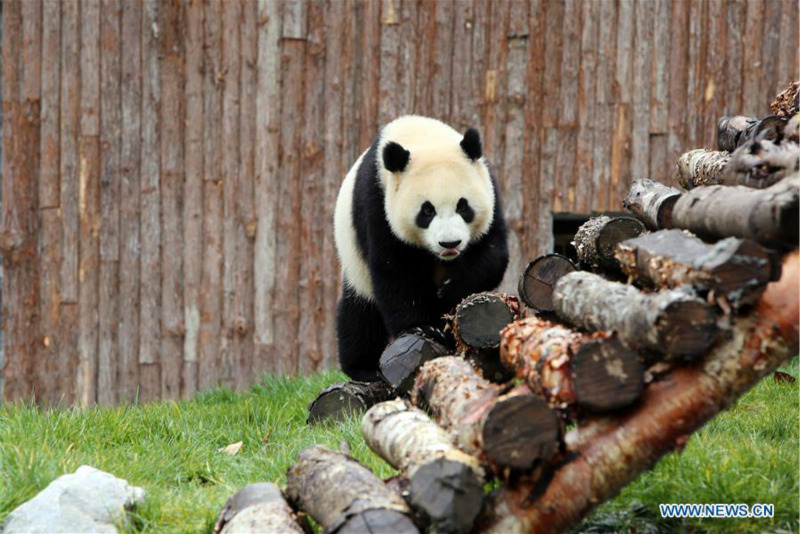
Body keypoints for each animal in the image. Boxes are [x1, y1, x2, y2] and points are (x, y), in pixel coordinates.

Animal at [332, 115, 510, 382]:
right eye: (427, 210)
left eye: (462, 206)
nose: (450, 243)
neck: (421, 136)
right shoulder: (377, 203)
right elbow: (395, 270)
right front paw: (420, 327)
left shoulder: (489, 190)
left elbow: (491, 253)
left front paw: (450, 290)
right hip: (354, 260)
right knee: (360, 312)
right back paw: (364, 367)